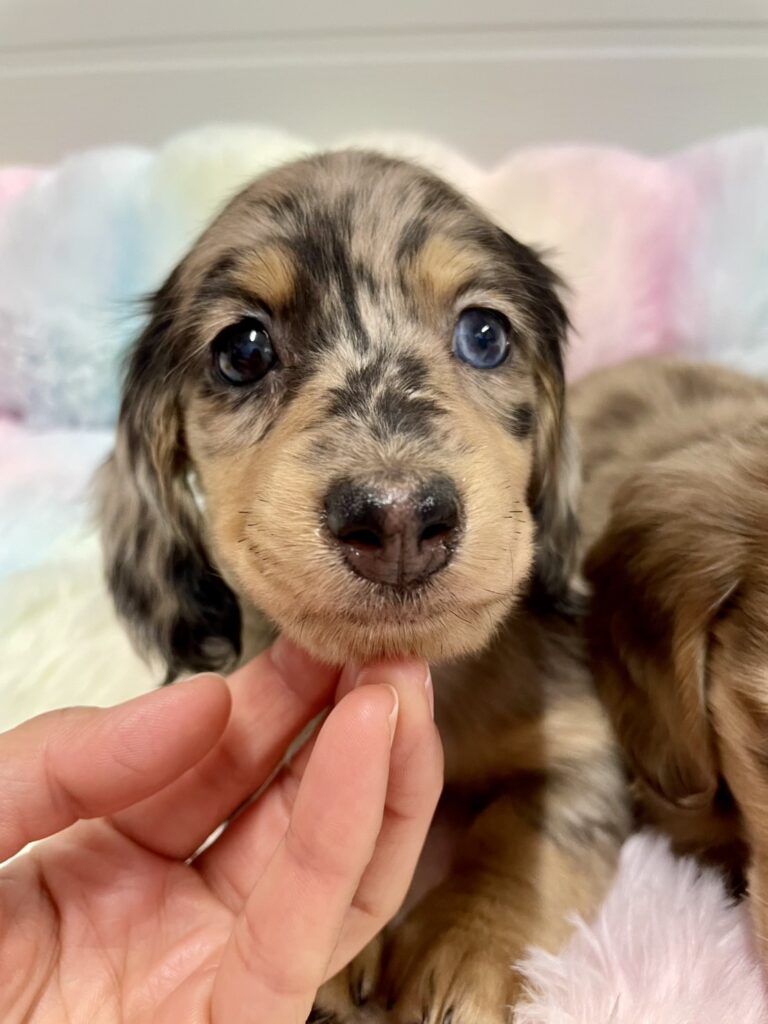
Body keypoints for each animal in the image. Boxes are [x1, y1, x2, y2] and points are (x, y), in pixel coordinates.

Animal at [97, 150, 628, 1021]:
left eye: (485, 334)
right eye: (242, 349)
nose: (399, 519)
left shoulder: (586, 748)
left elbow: (527, 832)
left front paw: (466, 948)